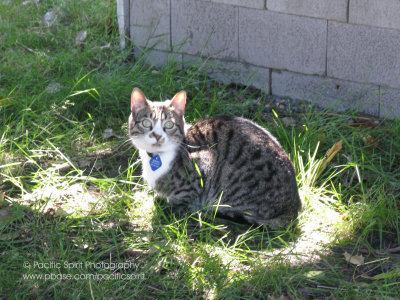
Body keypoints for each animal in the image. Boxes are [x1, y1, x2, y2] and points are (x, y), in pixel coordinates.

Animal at [128, 88, 300, 229]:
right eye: (146, 123)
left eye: (169, 125)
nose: (157, 136)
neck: (157, 157)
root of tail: (293, 207)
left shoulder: (204, 163)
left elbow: (182, 198)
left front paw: (170, 204)